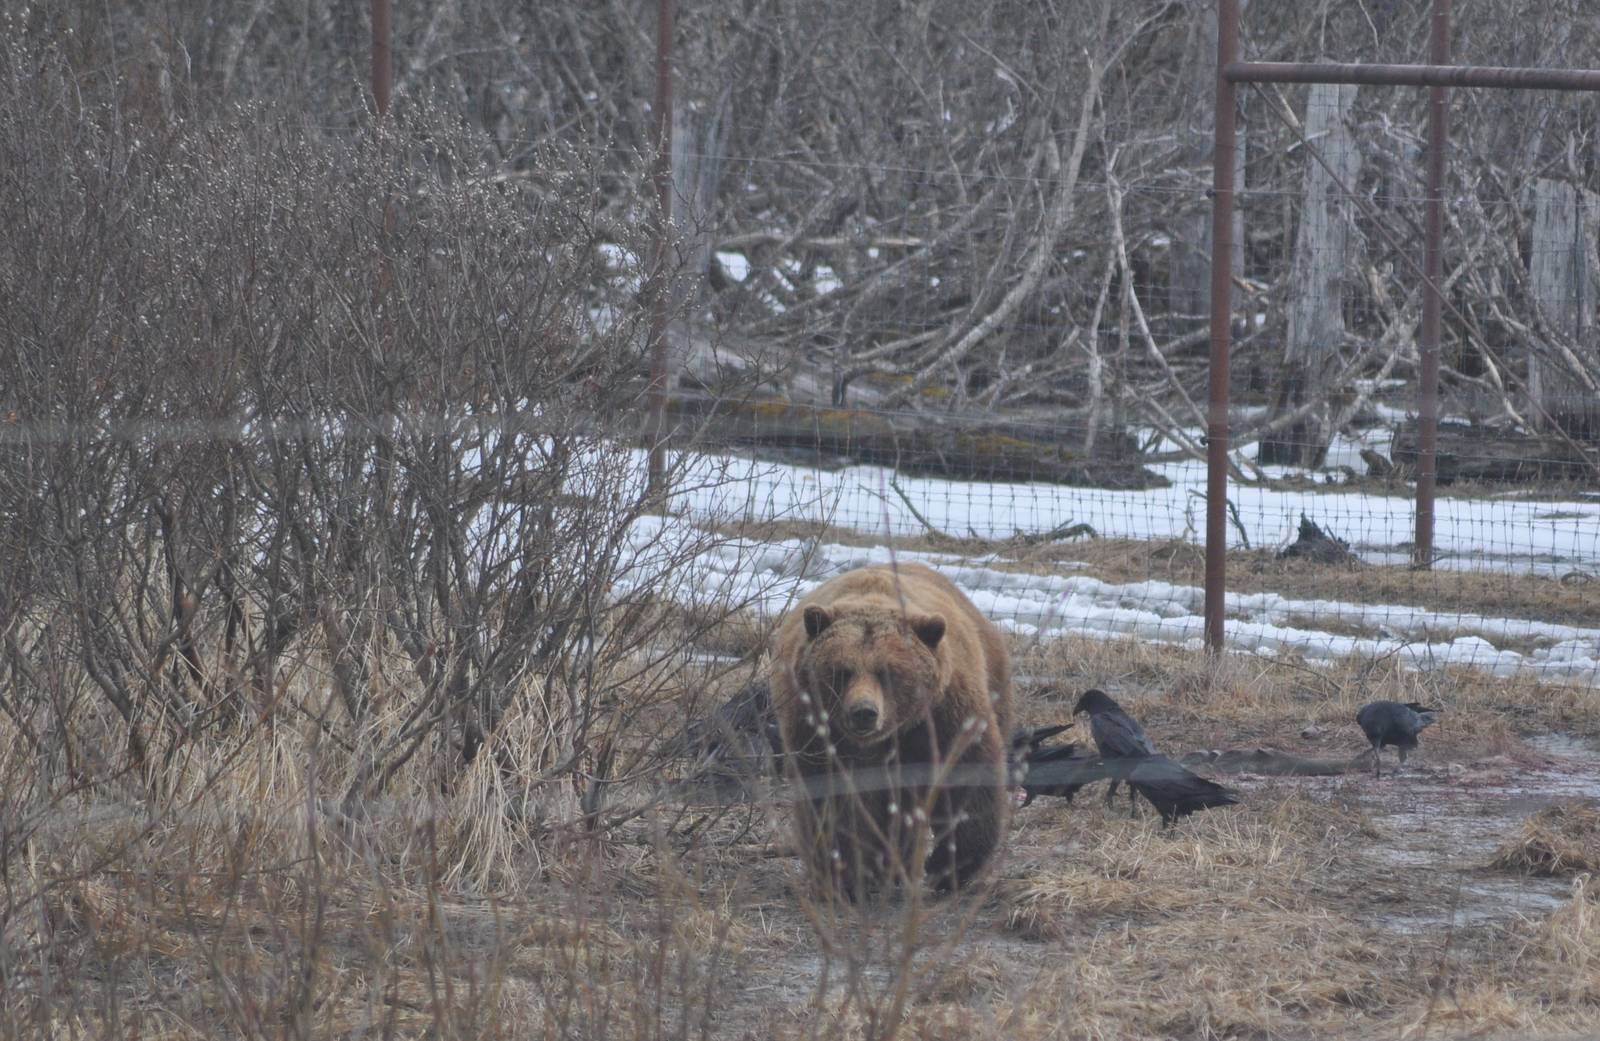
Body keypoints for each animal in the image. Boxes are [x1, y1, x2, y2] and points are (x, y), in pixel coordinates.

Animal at [770, 562, 1012, 899]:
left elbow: (966, 779)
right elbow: (834, 801)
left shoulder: (941, 717)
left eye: (887, 672)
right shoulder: (817, 731)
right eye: (841, 671)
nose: (864, 712)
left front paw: (947, 867)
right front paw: (847, 875)